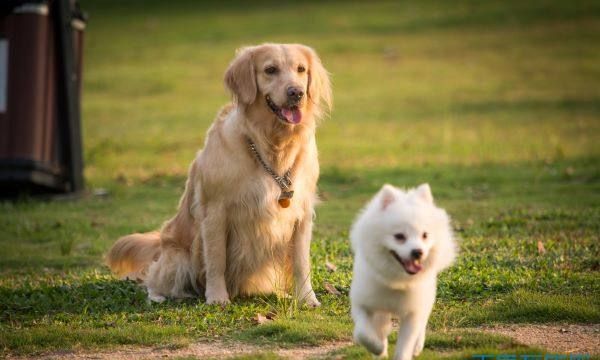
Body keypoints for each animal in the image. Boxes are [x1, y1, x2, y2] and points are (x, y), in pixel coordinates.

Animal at [350, 184, 458, 358]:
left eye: (425, 235)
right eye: (399, 236)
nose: (418, 252)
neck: (397, 281)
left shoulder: (412, 313)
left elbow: (405, 345)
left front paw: (404, 349)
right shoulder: (363, 304)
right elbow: (363, 334)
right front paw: (378, 348)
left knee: (422, 323)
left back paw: (417, 346)